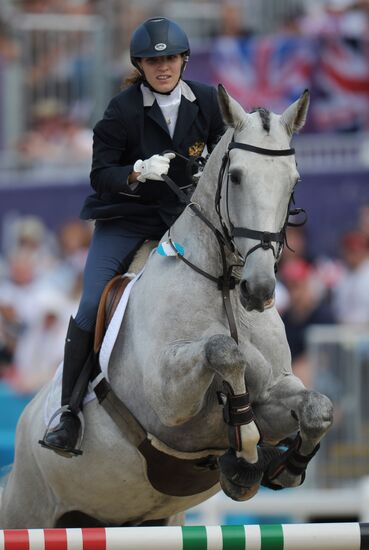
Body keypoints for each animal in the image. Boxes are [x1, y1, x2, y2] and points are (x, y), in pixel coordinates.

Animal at [0, 86, 332, 532]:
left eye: (293, 180)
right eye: (236, 176)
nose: (259, 289)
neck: (224, 288)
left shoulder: (274, 395)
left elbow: (317, 408)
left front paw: (286, 467)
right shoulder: (169, 405)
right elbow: (223, 350)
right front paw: (245, 458)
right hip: (28, 511)